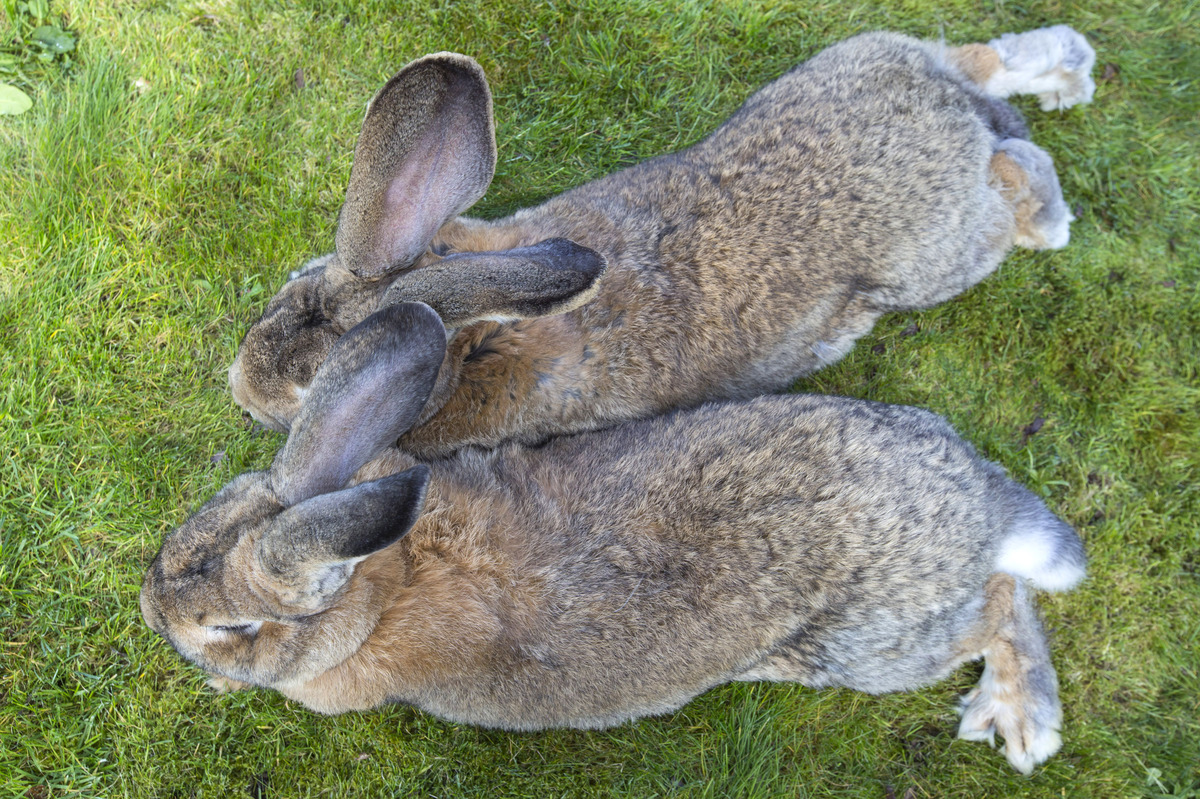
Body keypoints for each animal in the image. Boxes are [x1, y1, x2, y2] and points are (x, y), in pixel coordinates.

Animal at [142, 299, 1089, 772]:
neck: (385, 575)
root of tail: (979, 500)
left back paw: (1021, 720)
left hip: (874, 645)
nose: (151, 612)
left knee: (1003, 605)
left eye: (232, 626)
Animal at [226, 24, 1099, 453]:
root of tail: (951, 112)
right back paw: (1069, 74)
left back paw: (1052, 213)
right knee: (988, 64)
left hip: (945, 253)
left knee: (1015, 178)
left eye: (313, 388)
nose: (239, 391)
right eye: (290, 286)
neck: (471, 336)